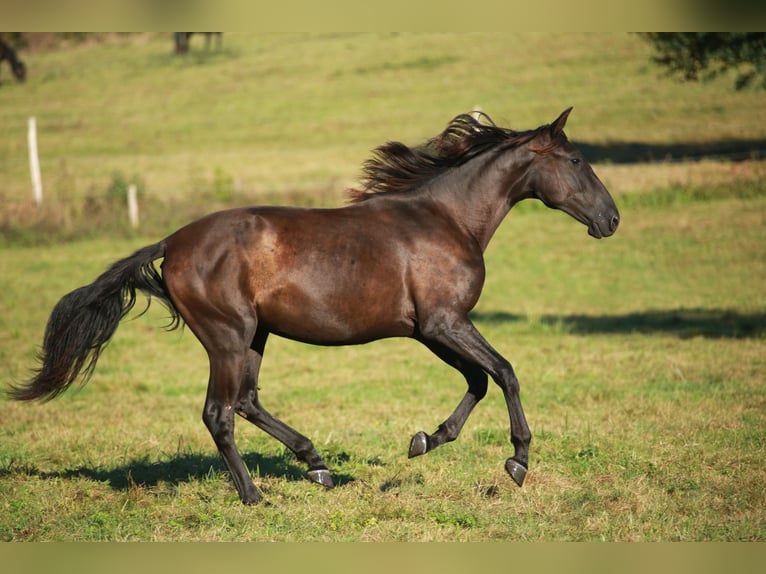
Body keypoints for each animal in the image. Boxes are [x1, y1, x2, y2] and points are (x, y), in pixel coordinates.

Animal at [9, 108, 620, 504]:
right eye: (576, 159)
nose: (611, 219)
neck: (446, 220)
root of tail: (172, 243)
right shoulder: (445, 322)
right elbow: (505, 372)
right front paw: (517, 461)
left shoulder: (430, 329)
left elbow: (479, 380)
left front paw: (423, 441)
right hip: (227, 335)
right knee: (219, 413)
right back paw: (255, 496)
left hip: (255, 334)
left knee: (247, 401)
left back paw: (316, 466)